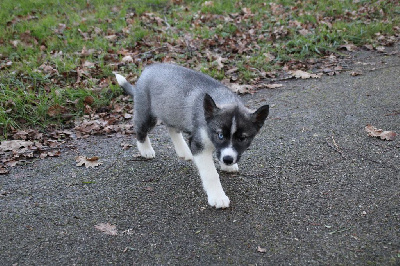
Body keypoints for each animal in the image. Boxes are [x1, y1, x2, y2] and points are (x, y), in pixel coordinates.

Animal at [114, 63, 268, 209]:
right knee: (140, 129)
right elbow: (211, 173)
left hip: (170, 111)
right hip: (148, 114)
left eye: (242, 138)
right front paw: (218, 197)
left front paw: (227, 166)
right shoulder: (199, 145)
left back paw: (184, 151)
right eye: (220, 135)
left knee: (172, 129)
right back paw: (146, 150)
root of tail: (146, 71)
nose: (228, 160)